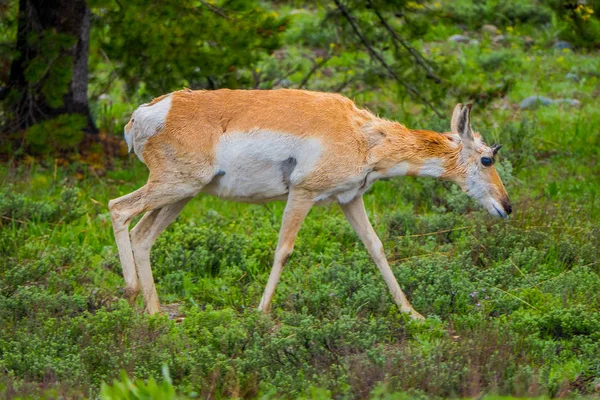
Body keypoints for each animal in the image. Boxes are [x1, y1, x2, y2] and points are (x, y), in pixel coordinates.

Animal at [108, 89, 510, 320]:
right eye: (487, 159)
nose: (507, 207)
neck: (364, 134)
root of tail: (144, 113)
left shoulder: (350, 199)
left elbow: (376, 247)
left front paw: (413, 314)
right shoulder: (302, 194)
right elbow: (283, 250)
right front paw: (261, 314)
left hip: (182, 195)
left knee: (142, 235)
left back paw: (155, 314)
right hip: (175, 186)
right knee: (118, 208)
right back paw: (130, 292)